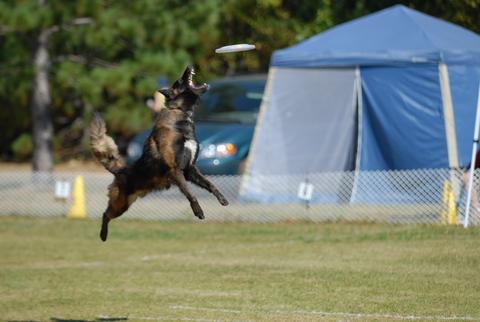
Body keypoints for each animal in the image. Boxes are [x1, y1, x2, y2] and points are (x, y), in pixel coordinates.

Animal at [92, 66, 231, 242]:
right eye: (180, 80)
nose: (189, 66)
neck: (179, 113)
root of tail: (121, 170)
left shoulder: (190, 169)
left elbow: (210, 184)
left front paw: (222, 198)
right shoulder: (175, 169)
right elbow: (190, 193)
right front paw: (198, 211)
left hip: (125, 204)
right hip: (120, 204)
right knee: (105, 214)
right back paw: (103, 235)